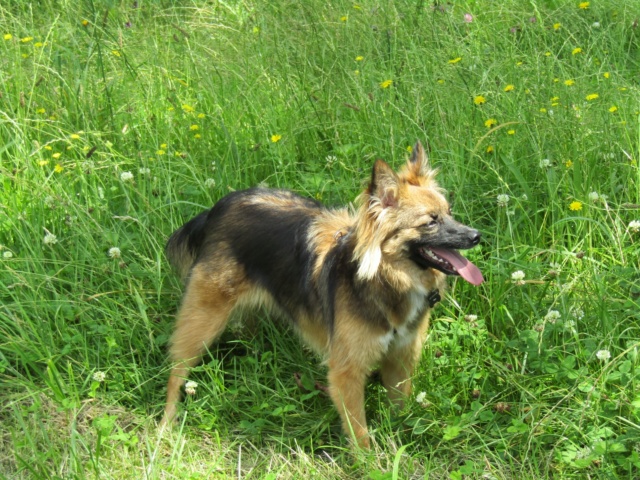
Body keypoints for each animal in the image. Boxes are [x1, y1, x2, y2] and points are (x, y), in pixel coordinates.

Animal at [160, 141, 480, 448]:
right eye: (431, 221)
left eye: (449, 212)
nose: (477, 236)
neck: (384, 278)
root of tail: (220, 207)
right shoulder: (346, 372)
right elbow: (360, 432)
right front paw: (370, 460)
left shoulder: (400, 359)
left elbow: (398, 409)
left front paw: (400, 437)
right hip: (202, 320)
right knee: (177, 372)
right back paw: (167, 422)